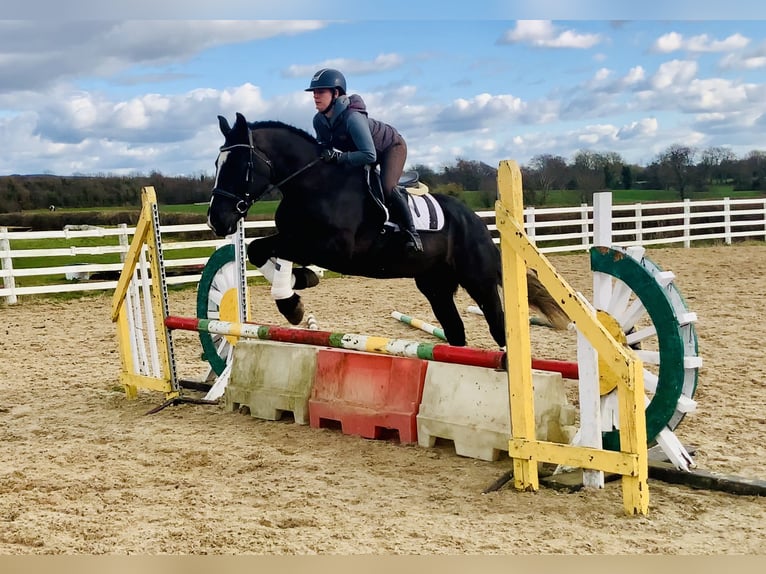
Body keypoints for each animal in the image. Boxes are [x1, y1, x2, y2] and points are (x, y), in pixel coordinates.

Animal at [207, 112, 568, 346]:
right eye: (216, 164)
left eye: (240, 165)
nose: (216, 220)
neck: (313, 184)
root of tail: (476, 220)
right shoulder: (297, 239)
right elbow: (258, 249)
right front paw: (298, 287)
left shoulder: (331, 248)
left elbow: (270, 249)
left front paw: (291, 302)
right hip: (435, 286)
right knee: (456, 332)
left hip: (477, 280)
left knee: (498, 326)